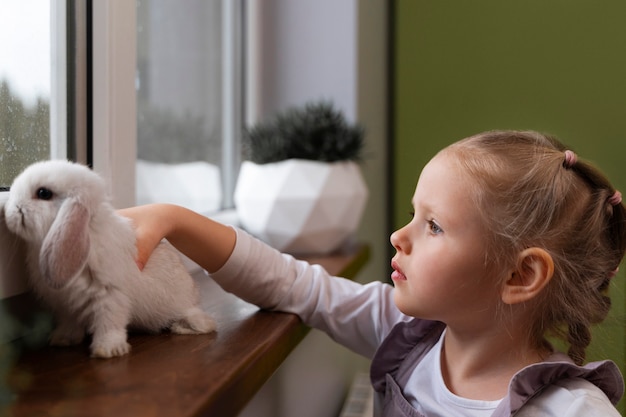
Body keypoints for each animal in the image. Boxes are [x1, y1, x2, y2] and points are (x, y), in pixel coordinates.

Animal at [3, 159, 216, 358]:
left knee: (202, 321)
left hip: (184, 309)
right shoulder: (65, 305)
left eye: (43, 193)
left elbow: (110, 324)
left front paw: (107, 350)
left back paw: (184, 326)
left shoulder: (110, 296)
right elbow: (69, 324)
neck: (88, 233)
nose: (10, 211)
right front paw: (61, 340)